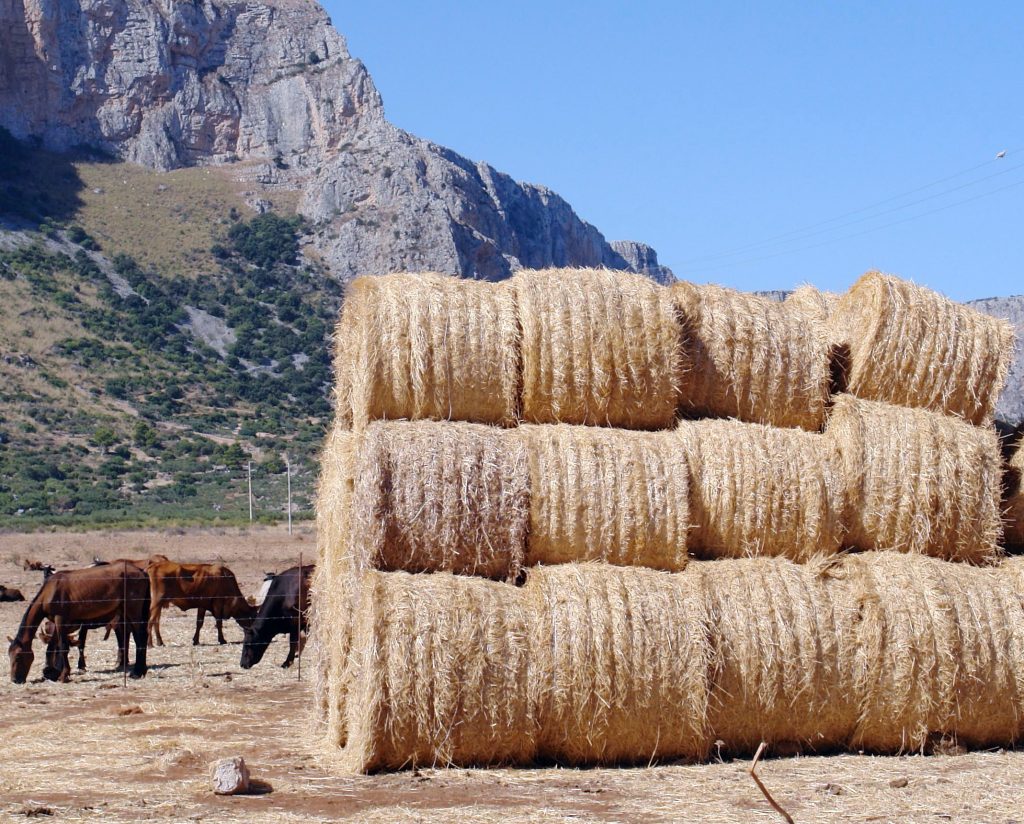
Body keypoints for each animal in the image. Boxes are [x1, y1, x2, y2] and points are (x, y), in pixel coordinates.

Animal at [9, 560, 149, 679]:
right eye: (9, 656)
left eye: (18, 657)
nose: (15, 680)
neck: (50, 591)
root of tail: (141, 571)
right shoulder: (62, 623)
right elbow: (54, 646)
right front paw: (51, 671)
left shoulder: (61, 620)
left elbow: (63, 646)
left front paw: (64, 674)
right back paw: (140, 669)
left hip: (132, 611)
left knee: (140, 636)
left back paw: (137, 672)